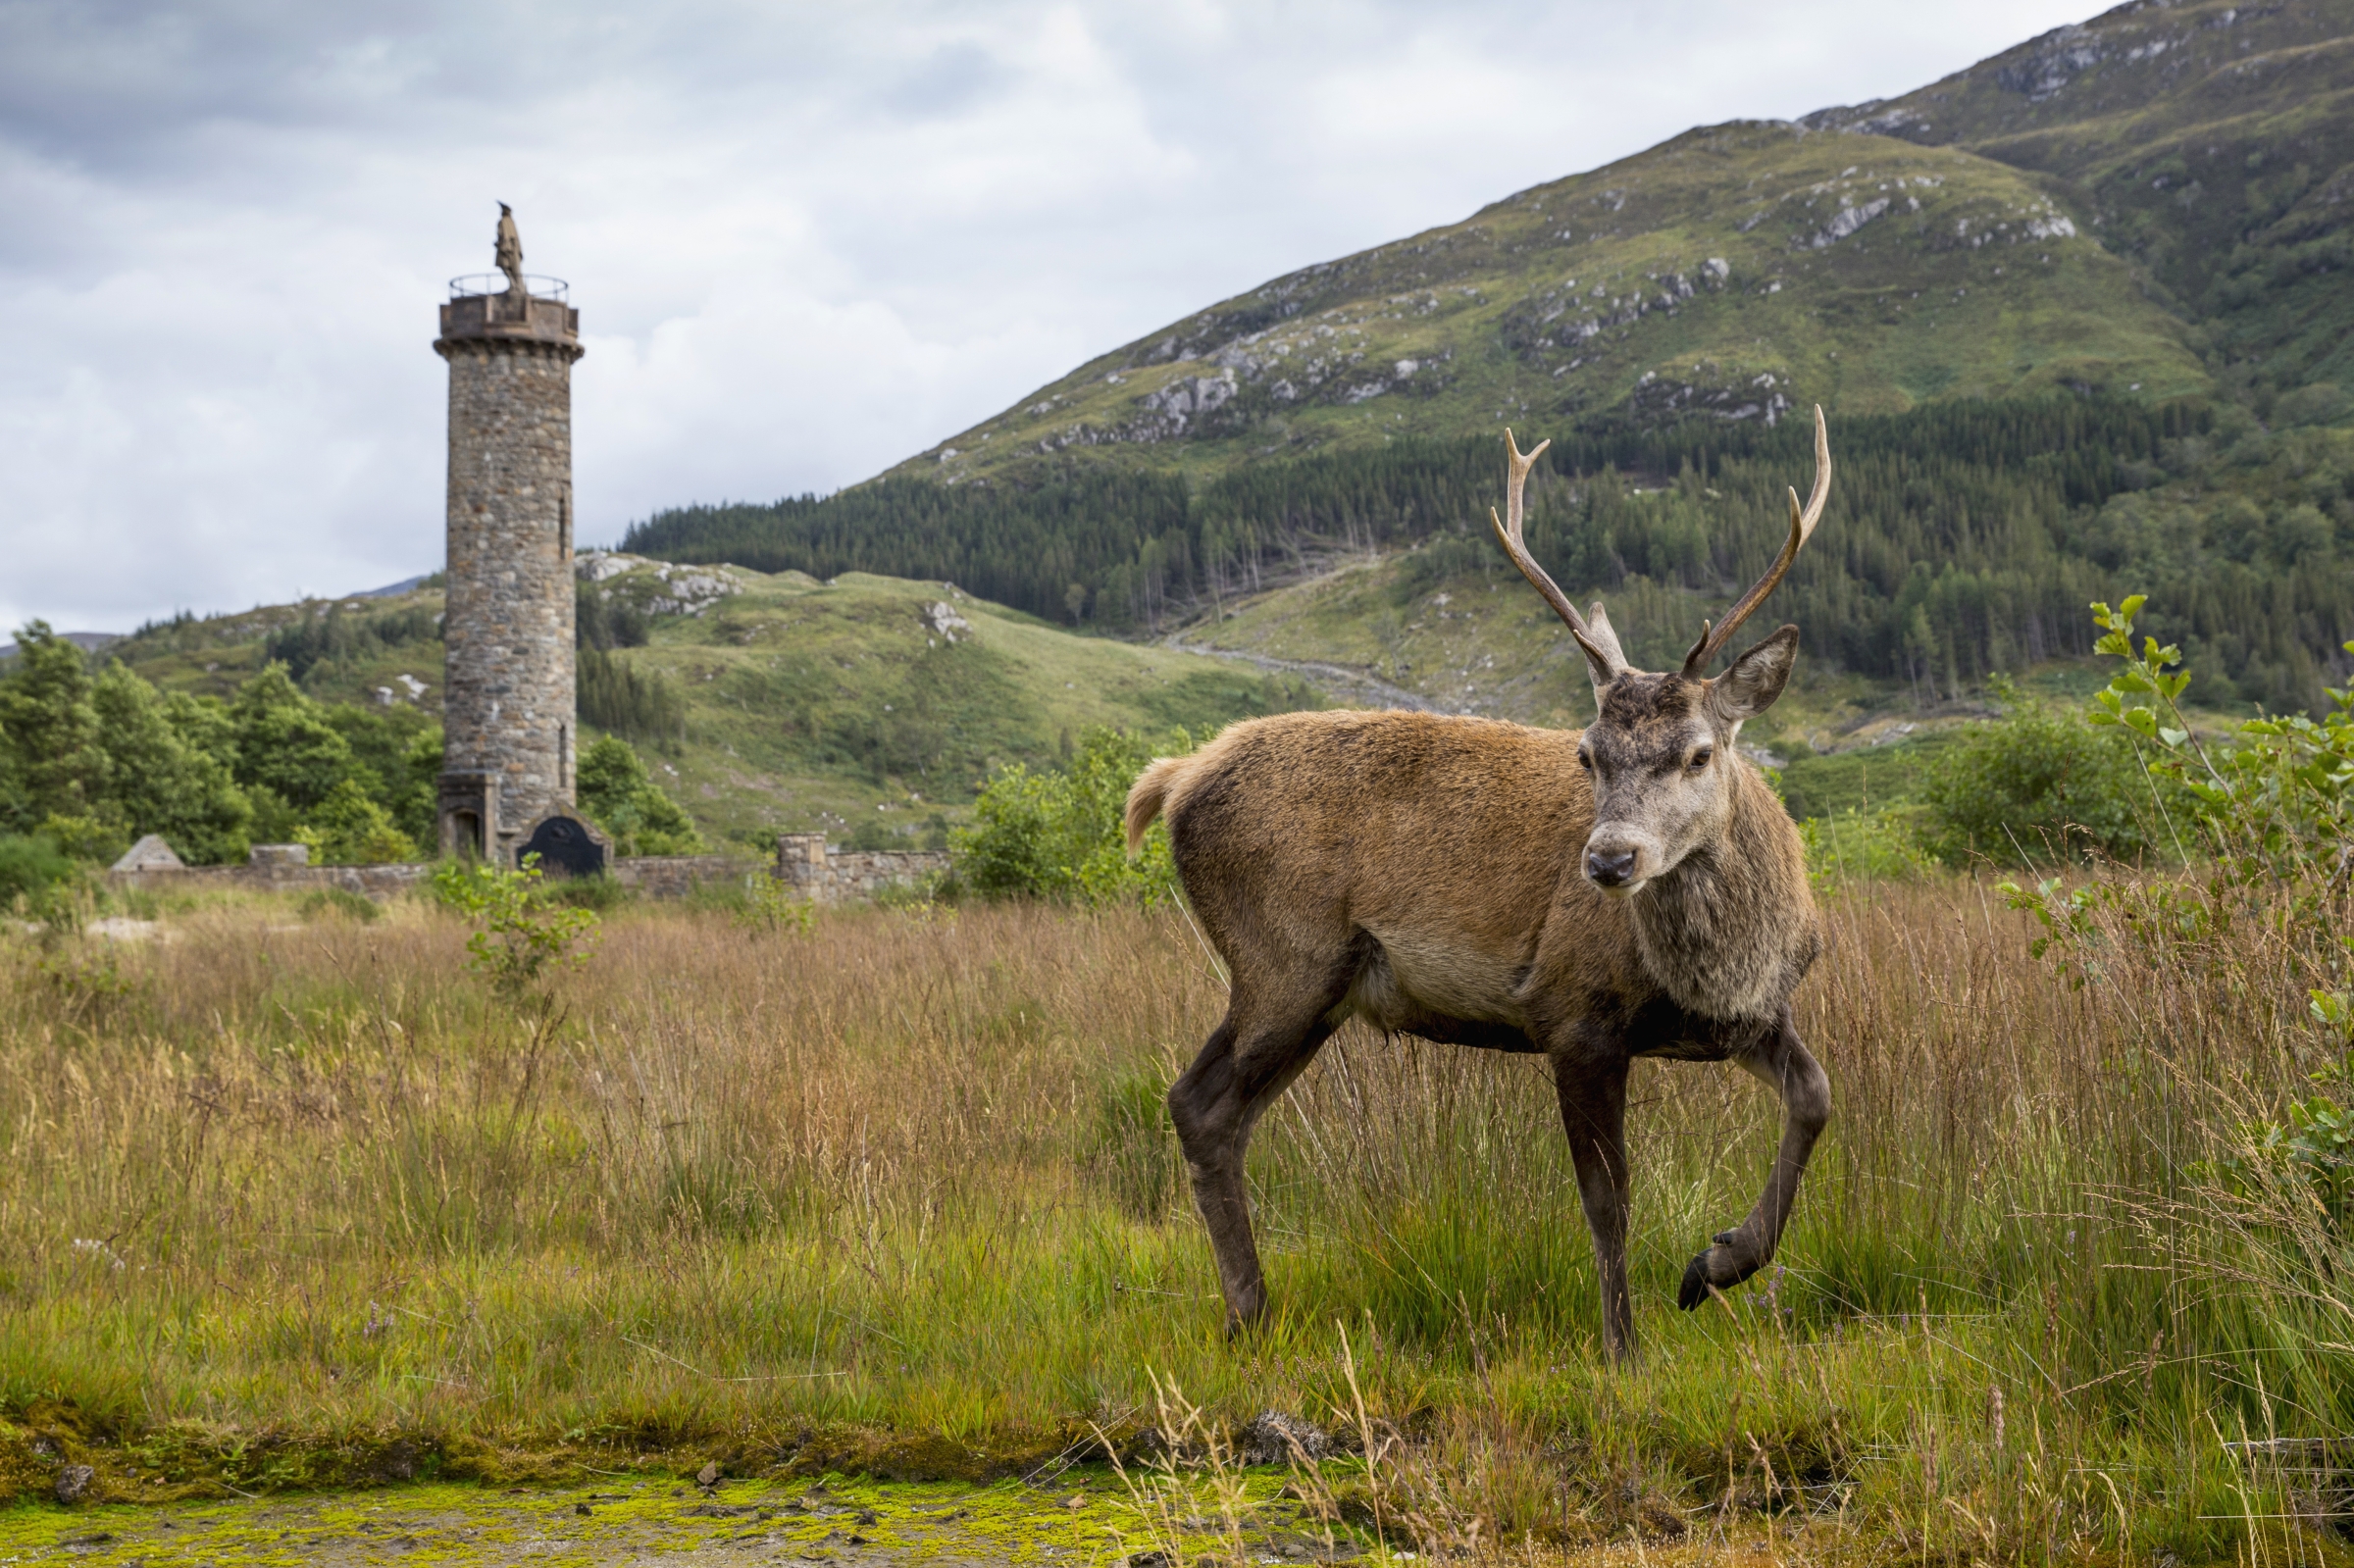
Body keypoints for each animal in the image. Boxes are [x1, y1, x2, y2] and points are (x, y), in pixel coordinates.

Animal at [1123, 408, 1834, 1360]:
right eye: (1587, 753)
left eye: (1697, 752)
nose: (1609, 861)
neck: (1721, 964)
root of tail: (1174, 779)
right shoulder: (1573, 1013)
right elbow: (1609, 1201)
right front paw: (1624, 1348)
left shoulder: (1743, 1017)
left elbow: (1815, 1097)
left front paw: (1717, 1263)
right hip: (1282, 959)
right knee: (1196, 1103)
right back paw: (1249, 1310)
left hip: (1323, 990)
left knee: (1221, 1115)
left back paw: (1252, 1311)